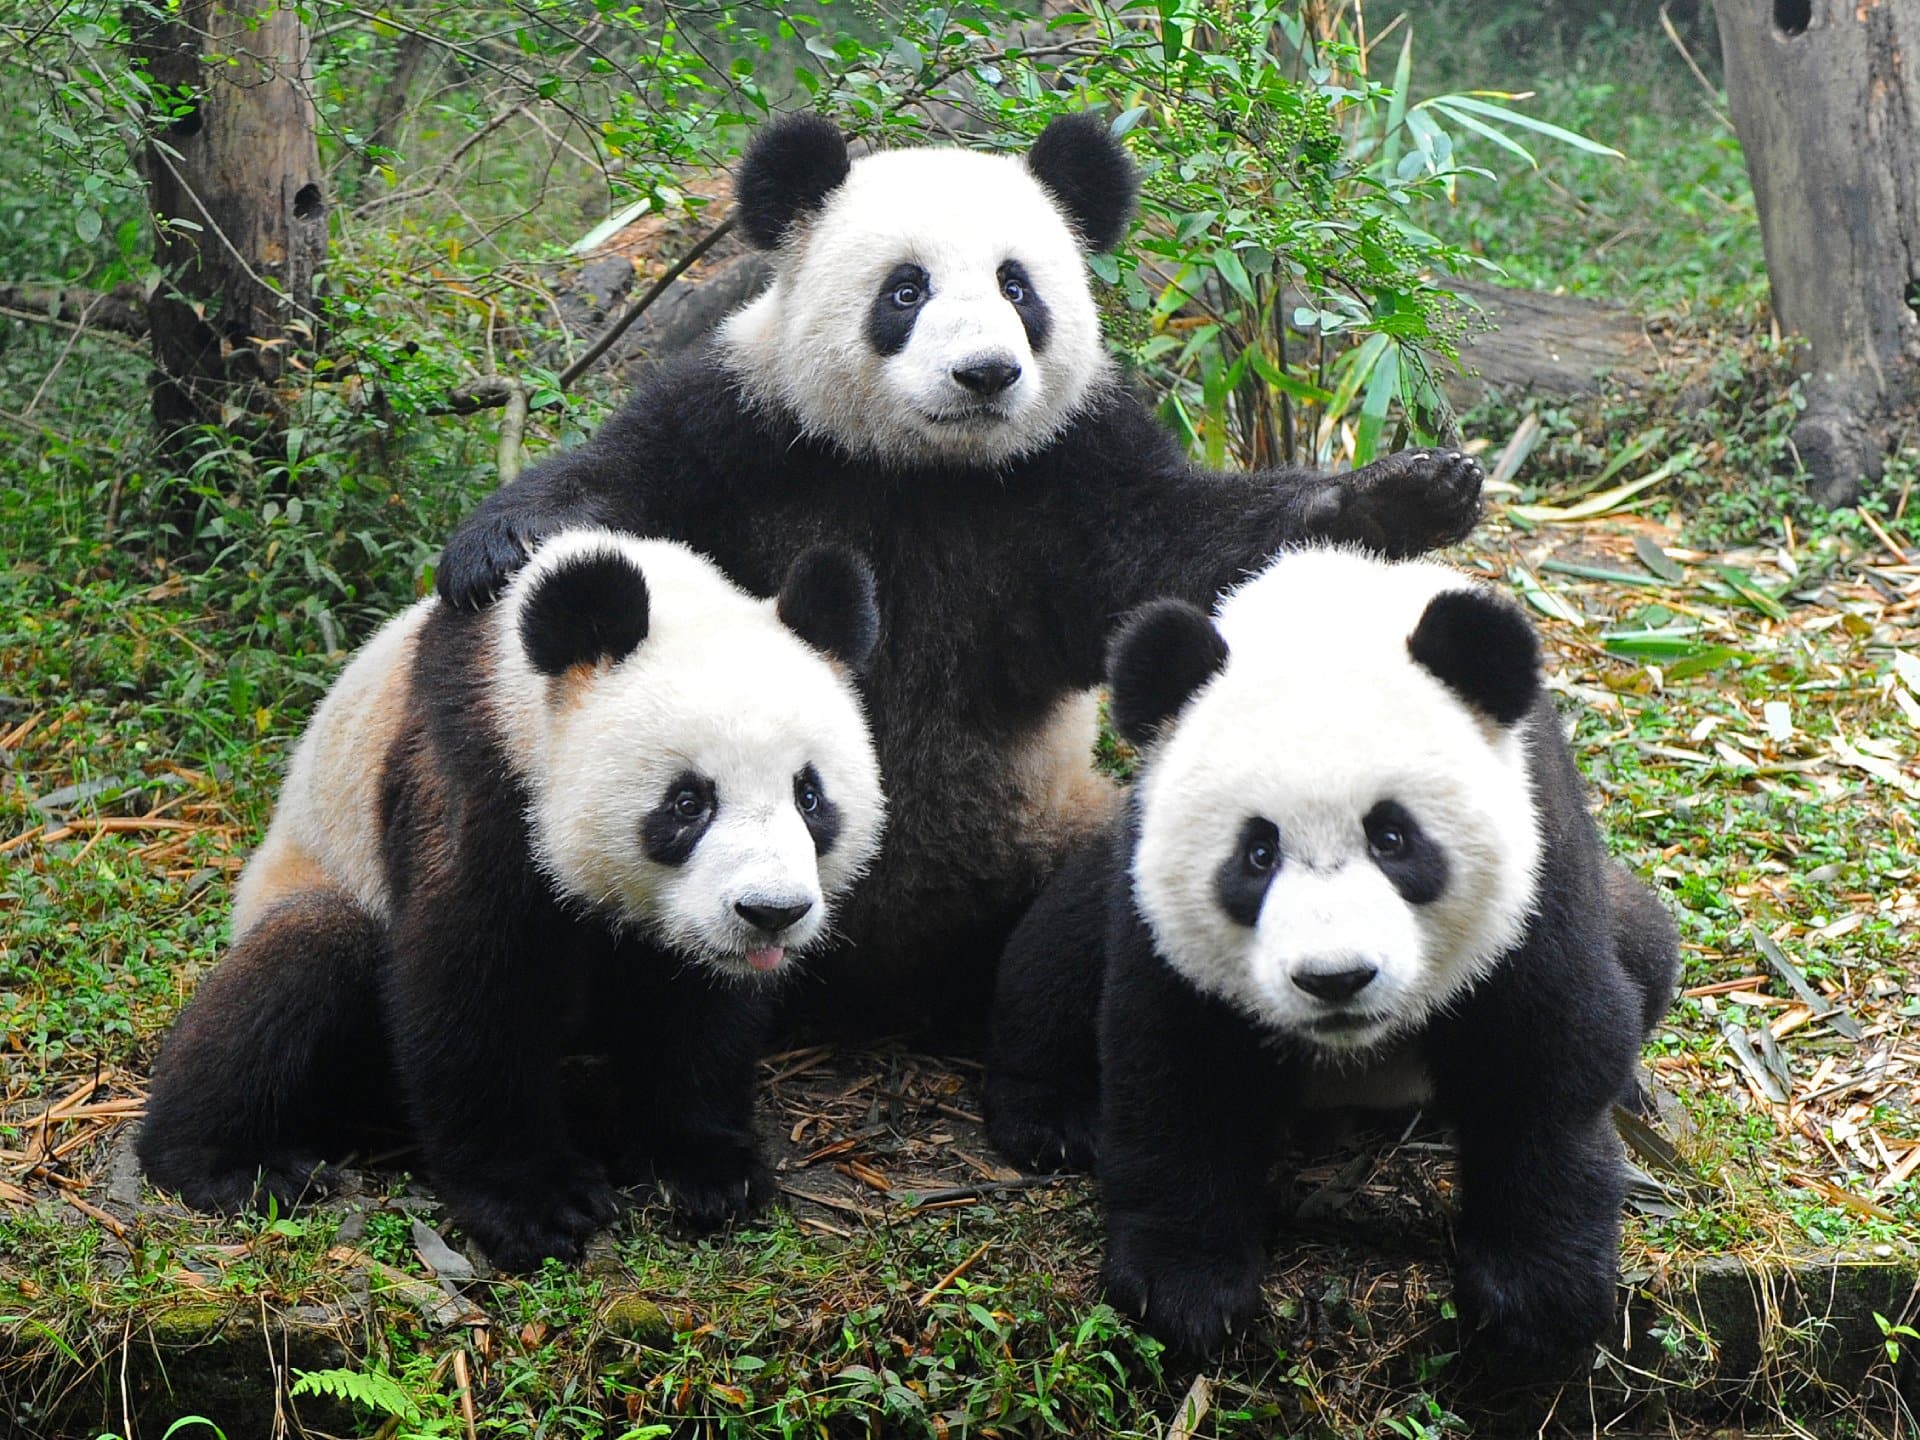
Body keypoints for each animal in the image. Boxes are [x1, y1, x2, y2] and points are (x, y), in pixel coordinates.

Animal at [138, 532, 886, 1270]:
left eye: (809, 795)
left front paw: (703, 1168)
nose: (772, 912)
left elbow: (699, 1009)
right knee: (301, 964)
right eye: (687, 803)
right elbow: (471, 986)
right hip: (315, 880)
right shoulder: (475, 774)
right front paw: (538, 1205)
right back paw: (230, 1163)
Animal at [431, 112, 1486, 1030]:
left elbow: (1182, 552)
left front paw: (1406, 496)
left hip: (1055, 829)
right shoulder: (746, 431)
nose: (986, 374)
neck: (925, 469)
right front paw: (497, 549)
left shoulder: (1071, 470)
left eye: (1019, 288)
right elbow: (624, 484)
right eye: (907, 290)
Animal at [984, 547, 1680, 1363]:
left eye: (1392, 837)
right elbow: (1174, 1069)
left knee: (1648, 951)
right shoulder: (1157, 911)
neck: (1330, 613)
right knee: (1054, 956)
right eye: (1257, 853)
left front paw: (1537, 1298)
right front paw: (1184, 1287)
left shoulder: (1539, 866)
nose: (1336, 978)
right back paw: (1053, 1121)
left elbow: (1547, 1053)